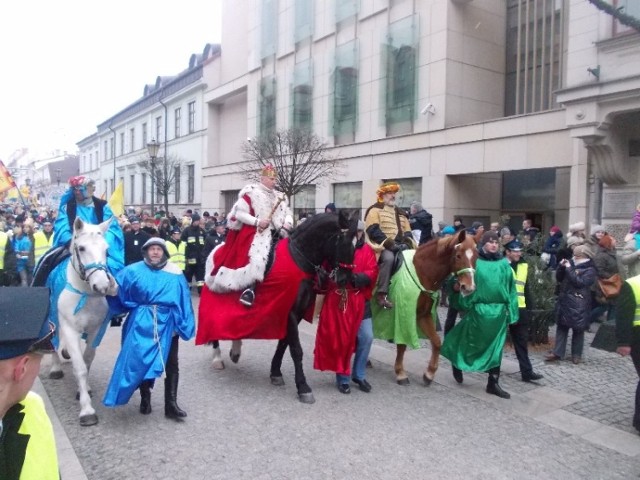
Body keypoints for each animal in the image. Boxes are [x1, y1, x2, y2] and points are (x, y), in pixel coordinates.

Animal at [48, 216, 117, 426]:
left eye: (106, 250)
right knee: (53, 342)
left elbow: (86, 361)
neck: (85, 293)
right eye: (82, 248)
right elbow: (80, 368)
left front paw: (83, 390)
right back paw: (55, 367)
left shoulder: (96, 329)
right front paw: (87, 410)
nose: (102, 285)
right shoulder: (69, 329)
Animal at [198, 212, 358, 404]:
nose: (344, 279)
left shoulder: (295, 313)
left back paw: (235, 351)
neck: (299, 259)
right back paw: (217, 358)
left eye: (357, 244)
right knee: (213, 325)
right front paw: (303, 387)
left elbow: (284, 344)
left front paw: (275, 372)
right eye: (342, 241)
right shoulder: (290, 313)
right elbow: (296, 350)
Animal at [372, 230, 478, 386]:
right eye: (458, 255)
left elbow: (437, 342)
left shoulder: (423, 315)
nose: (468, 287)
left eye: (476, 256)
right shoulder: (404, 314)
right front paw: (401, 373)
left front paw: (429, 374)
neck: (421, 272)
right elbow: (402, 345)